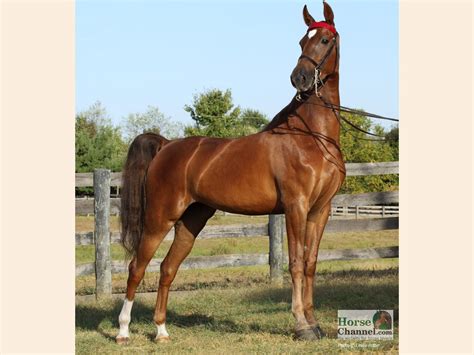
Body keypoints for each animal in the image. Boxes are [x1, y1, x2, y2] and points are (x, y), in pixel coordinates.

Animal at [115, 1, 344, 344]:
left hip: (192, 220)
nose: (299, 78)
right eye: (302, 42)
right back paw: (123, 331)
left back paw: (161, 331)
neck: (312, 136)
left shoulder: (320, 210)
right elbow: (295, 263)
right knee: (137, 267)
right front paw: (302, 325)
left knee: (167, 268)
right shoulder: (296, 207)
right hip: (159, 218)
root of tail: (166, 145)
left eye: (325, 40)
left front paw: (314, 324)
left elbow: (311, 263)